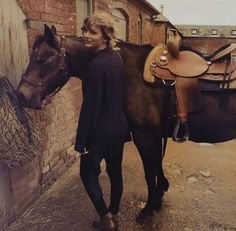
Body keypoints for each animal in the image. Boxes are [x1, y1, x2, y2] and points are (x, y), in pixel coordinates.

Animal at [17, 24, 236, 222]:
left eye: (41, 59)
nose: (22, 95)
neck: (129, 70)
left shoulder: (144, 135)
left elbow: (149, 172)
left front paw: (148, 209)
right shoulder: (155, 134)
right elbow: (157, 166)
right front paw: (159, 196)